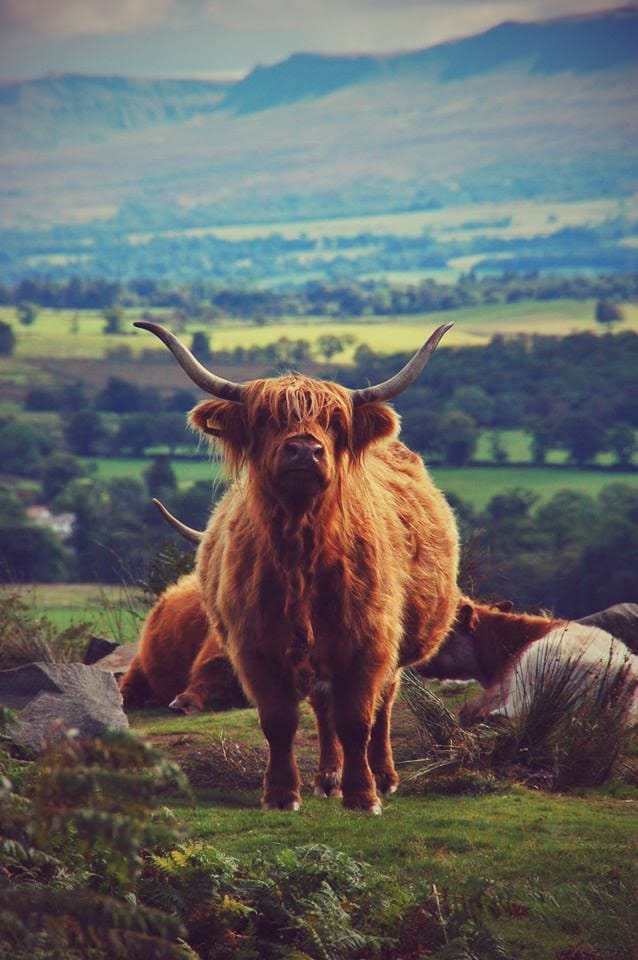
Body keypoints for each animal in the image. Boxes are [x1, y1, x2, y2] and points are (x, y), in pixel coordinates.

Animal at [134, 319, 460, 813]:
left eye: (334, 422)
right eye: (266, 419)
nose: (305, 451)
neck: (301, 555)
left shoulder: (367, 642)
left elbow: (358, 719)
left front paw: (363, 795)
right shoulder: (255, 647)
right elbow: (280, 721)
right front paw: (283, 793)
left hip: (393, 649)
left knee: (383, 703)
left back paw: (384, 776)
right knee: (323, 709)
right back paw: (328, 777)